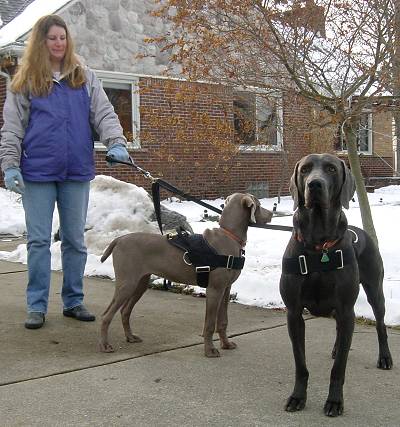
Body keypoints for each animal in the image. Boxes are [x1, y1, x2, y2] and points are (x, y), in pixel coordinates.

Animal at [100, 194, 274, 358]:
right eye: (258, 204)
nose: (272, 213)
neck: (229, 236)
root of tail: (119, 239)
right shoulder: (214, 289)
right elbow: (210, 324)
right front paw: (210, 350)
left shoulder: (226, 289)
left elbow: (223, 321)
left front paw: (226, 344)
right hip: (127, 283)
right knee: (106, 315)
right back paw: (105, 346)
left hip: (140, 283)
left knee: (125, 311)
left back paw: (130, 337)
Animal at [280, 153, 392, 418]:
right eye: (305, 169)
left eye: (331, 169)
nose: (314, 185)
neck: (318, 245)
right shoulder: (294, 312)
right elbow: (300, 363)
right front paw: (297, 397)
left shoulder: (345, 308)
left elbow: (339, 368)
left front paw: (334, 401)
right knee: (341, 332)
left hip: (375, 291)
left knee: (380, 324)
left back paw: (385, 358)